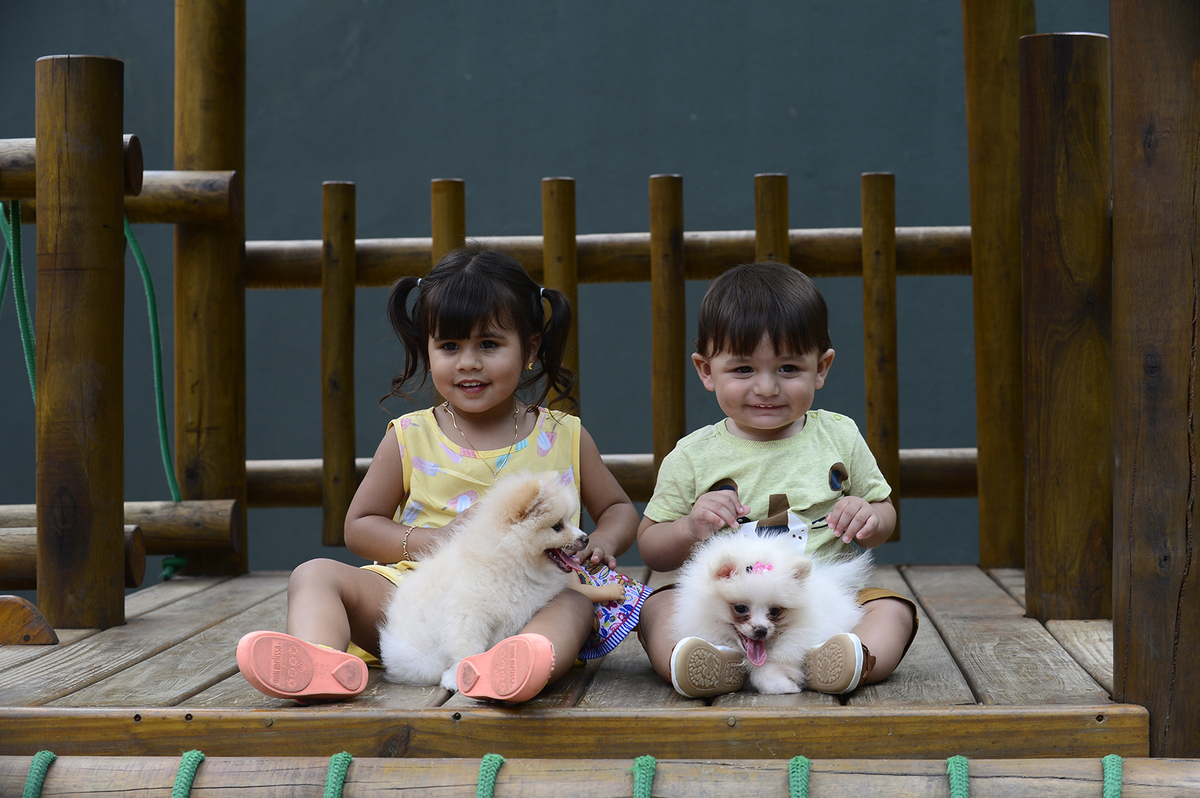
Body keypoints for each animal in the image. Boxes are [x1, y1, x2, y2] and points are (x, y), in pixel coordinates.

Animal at [377, 469, 588, 691]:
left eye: (570, 521)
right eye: (557, 526)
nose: (585, 538)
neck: (515, 564)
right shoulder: (468, 614)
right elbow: (468, 648)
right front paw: (460, 675)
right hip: (421, 659)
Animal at [671, 530, 872, 694]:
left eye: (774, 611)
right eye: (740, 608)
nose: (761, 630)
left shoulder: (797, 639)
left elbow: (770, 666)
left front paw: (782, 685)